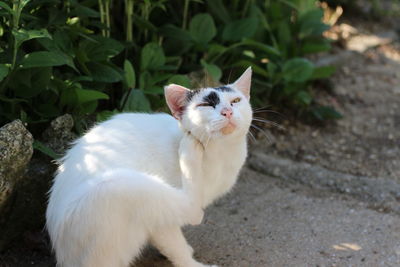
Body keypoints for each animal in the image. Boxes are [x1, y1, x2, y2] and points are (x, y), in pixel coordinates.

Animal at [46, 67, 253, 267]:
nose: (227, 111)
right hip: (117, 185)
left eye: (235, 101)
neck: (220, 155)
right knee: (193, 210)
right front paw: (190, 262)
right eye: (206, 105)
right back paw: (189, 148)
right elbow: (175, 246)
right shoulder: (160, 223)